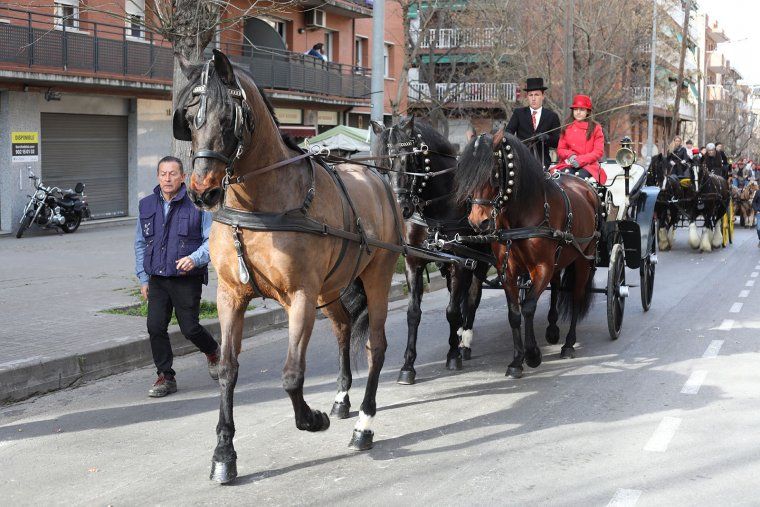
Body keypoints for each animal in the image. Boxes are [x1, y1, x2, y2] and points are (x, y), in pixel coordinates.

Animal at [177, 50, 404, 484]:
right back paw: (342, 398)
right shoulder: (231, 296)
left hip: (378, 276)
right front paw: (224, 453)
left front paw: (311, 419)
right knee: (343, 328)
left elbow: (292, 375)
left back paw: (364, 423)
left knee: (376, 345)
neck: (258, 206)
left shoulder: (300, 296)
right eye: (191, 116)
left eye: (226, 117)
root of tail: (378, 176)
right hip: (331, 289)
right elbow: (227, 369)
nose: (201, 192)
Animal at [372, 116, 490, 384]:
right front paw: (407, 365)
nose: (401, 208)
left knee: (472, 298)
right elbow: (413, 313)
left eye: (410, 160)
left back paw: (465, 342)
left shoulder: (460, 262)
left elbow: (452, 311)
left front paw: (453, 355)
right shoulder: (414, 262)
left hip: (481, 262)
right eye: (382, 164)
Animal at [452, 129, 600, 380]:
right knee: (556, 288)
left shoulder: (541, 267)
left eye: (493, 174)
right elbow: (514, 313)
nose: (478, 222)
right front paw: (516, 361)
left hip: (583, 259)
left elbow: (529, 306)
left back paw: (569, 344)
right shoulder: (508, 271)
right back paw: (552, 330)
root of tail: (587, 188)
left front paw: (532, 355)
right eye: (464, 172)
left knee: (577, 296)